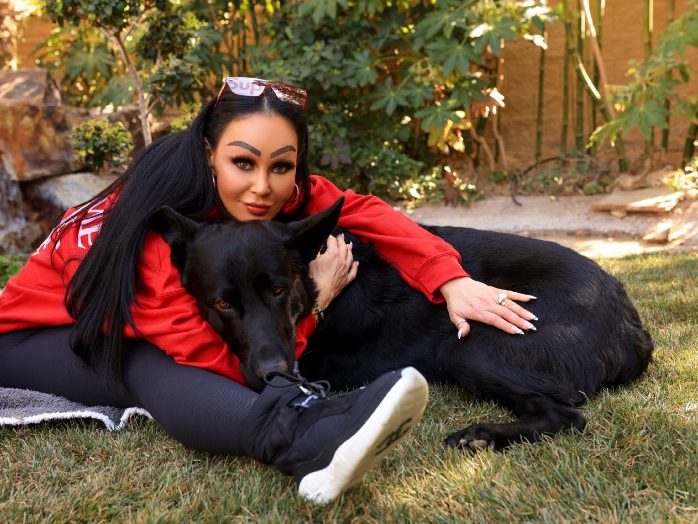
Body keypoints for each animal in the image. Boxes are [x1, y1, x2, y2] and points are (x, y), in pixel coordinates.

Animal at [148, 198, 652, 450]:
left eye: (277, 290)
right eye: (222, 303)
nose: (274, 374)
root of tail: (632, 324)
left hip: (467, 348)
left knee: (567, 413)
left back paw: (483, 435)